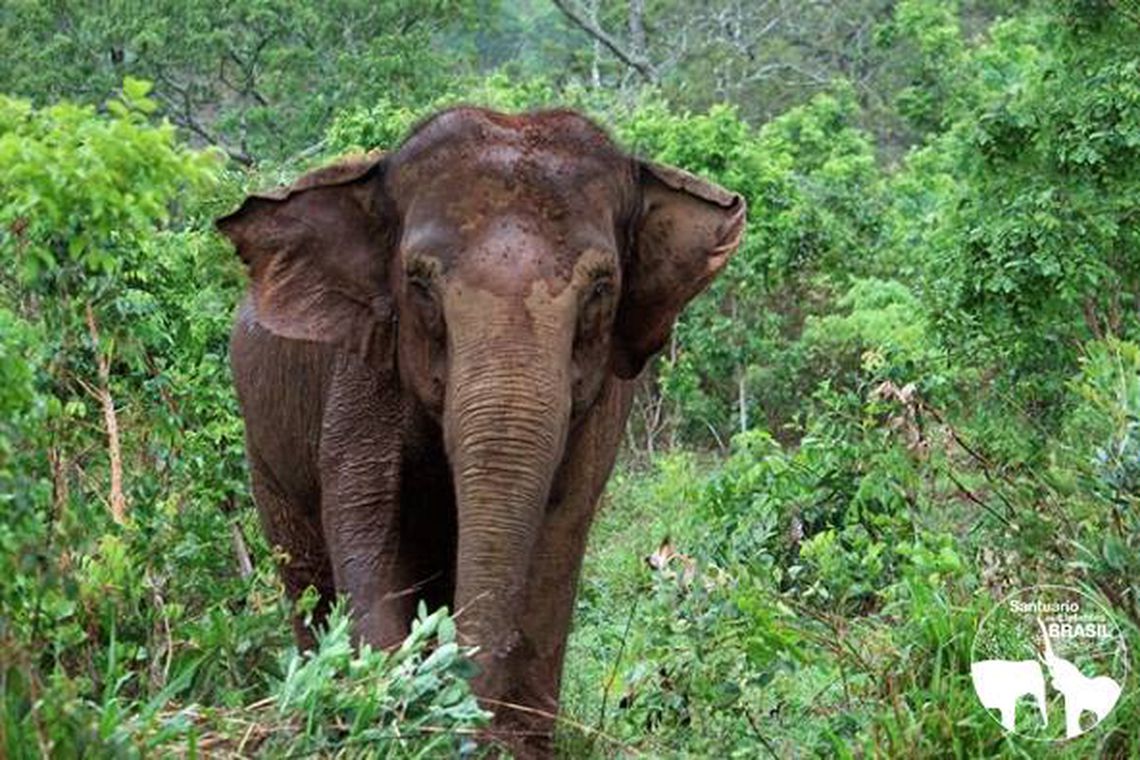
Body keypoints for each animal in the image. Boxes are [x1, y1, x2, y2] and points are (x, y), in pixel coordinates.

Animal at [216, 107, 743, 756]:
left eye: (601, 289)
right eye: (418, 284)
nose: (462, 722)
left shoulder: (603, 401)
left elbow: (559, 526)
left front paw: (510, 742)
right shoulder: (364, 368)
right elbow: (367, 516)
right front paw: (389, 715)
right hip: (263, 450)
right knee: (305, 574)